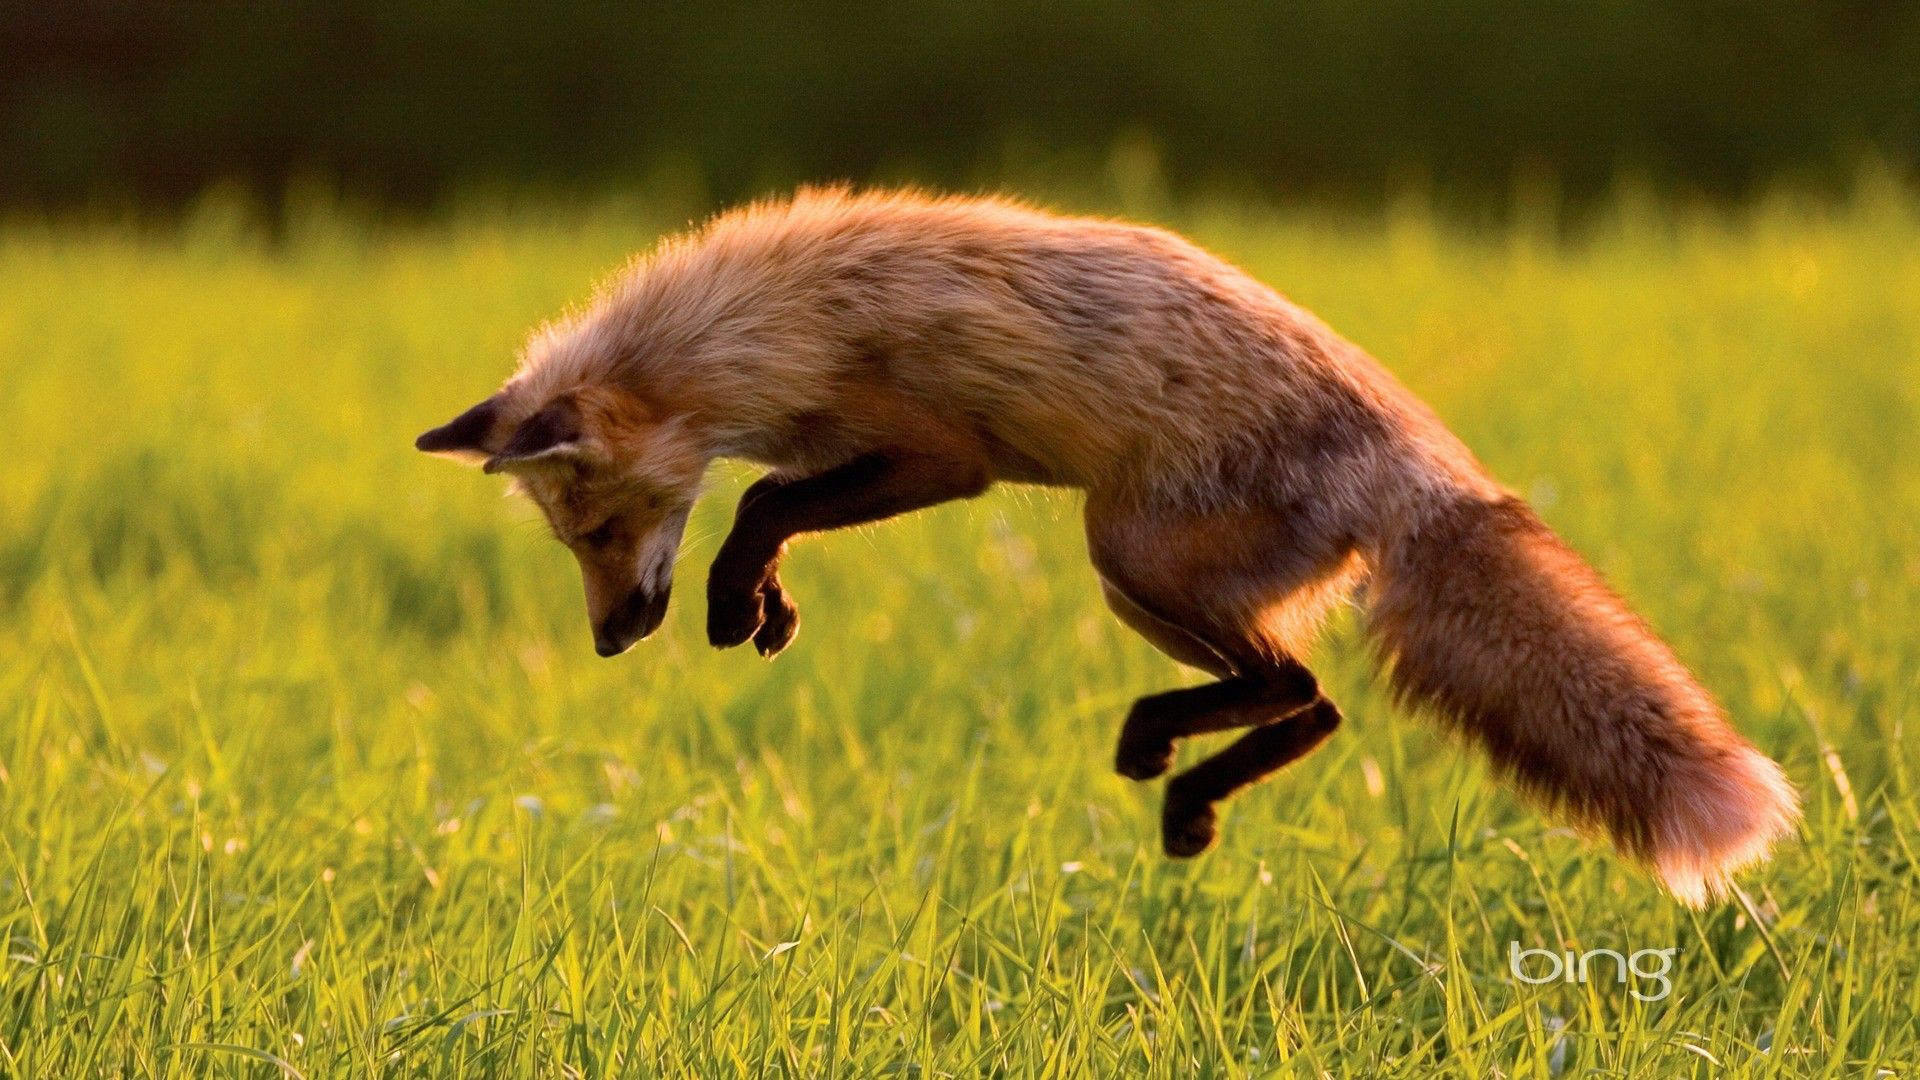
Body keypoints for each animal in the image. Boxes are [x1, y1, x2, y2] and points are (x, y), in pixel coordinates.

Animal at [416, 187, 1799, 905]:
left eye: (600, 530)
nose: (612, 640)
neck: (762, 329)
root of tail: (1427, 463)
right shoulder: (869, 455)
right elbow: (766, 505)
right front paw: (764, 608)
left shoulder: (938, 453)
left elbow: (758, 503)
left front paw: (737, 597)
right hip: (1143, 581)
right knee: (1315, 703)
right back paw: (1185, 791)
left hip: (1124, 550)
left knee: (1302, 690)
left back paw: (1169, 768)